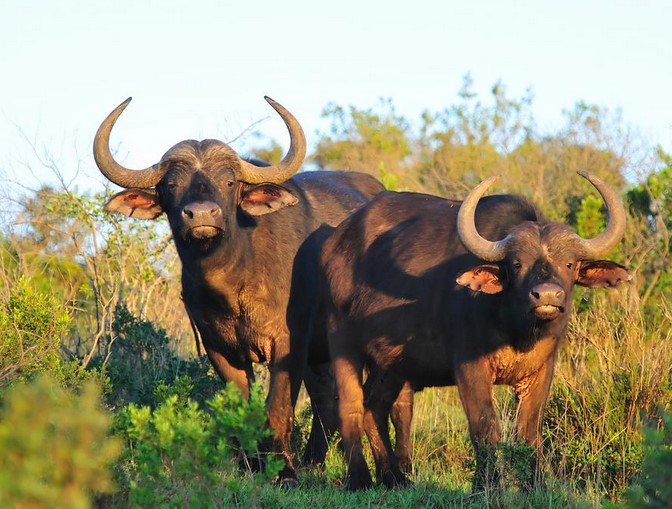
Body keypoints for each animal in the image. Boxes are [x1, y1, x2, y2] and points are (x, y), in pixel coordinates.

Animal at [96, 96, 388, 484]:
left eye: (229, 181)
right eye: (171, 184)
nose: (202, 215)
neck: (233, 284)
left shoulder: (288, 343)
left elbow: (277, 408)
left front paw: (283, 473)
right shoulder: (218, 349)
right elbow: (242, 410)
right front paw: (251, 465)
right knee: (326, 397)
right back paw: (312, 461)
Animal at [320, 171, 632, 488]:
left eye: (569, 263)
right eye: (516, 264)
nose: (546, 295)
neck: (516, 330)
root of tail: (334, 245)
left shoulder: (542, 370)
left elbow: (529, 431)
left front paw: (535, 485)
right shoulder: (469, 367)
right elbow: (485, 428)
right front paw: (485, 485)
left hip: (391, 363)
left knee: (375, 408)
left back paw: (394, 477)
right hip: (342, 340)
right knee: (350, 404)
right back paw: (359, 479)